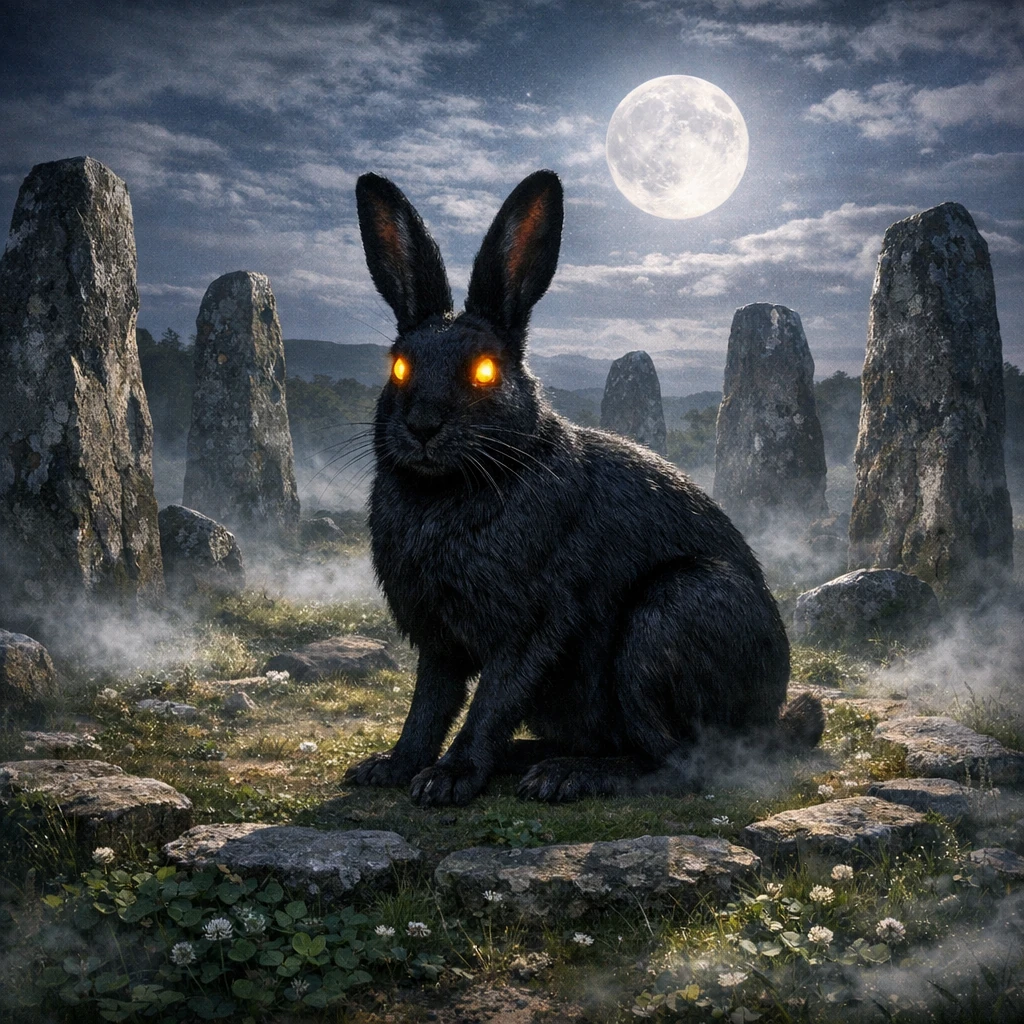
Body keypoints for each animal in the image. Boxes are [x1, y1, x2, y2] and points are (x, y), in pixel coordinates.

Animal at [345, 168, 824, 806]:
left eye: (485, 371)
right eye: (397, 367)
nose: (422, 426)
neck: (454, 488)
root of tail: (769, 719)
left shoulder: (530, 626)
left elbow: (490, 703)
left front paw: (448, 779)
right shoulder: (439, 641)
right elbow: (428, 707)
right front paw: (392, 768)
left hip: (667, 619)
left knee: (678, 763)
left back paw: (568, 775)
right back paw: (530, 761)